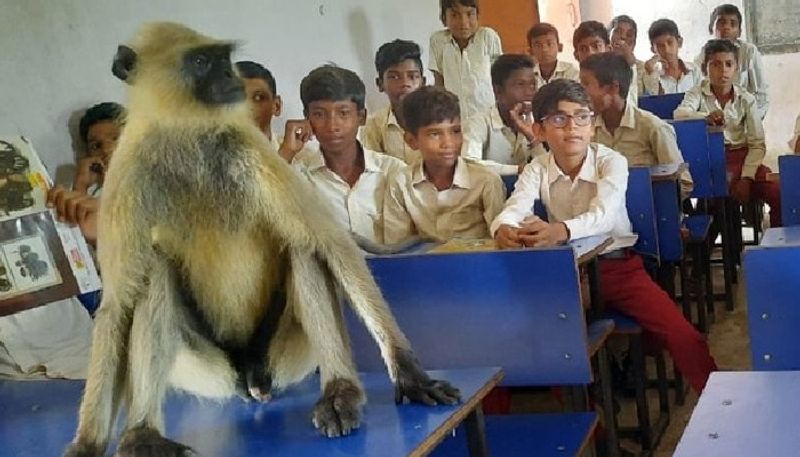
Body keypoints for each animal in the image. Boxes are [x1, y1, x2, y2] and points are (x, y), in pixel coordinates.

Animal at [63, 21, 460, 456]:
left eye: (223, 59)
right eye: (201, 62)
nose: (230, 77)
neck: (187, 137)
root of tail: (246, 368)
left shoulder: (246, 147)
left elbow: (330, 242)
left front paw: (410, 374)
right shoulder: (128, 173)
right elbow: (117, 306)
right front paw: (86, 444)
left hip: (283, 352)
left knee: (303, 248)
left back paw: (339, 391)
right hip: (205, 367)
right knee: (153, 274)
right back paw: (143, 433)